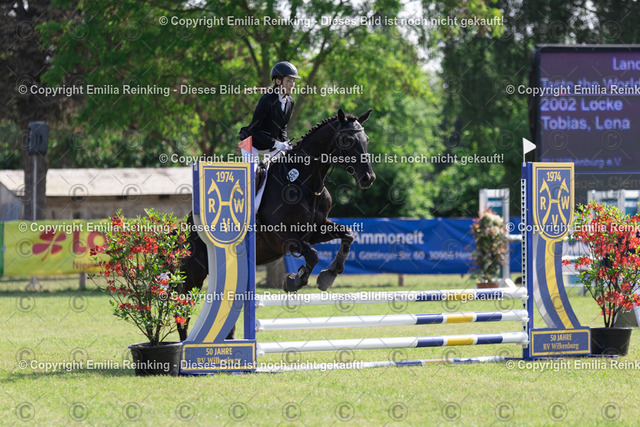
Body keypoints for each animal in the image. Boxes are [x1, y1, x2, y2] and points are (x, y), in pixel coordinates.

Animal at [177, 109, 375, 340]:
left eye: (366, 140)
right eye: (346, 140)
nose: (368, 178)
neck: (305, 183)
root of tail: (187, 222)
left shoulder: (315, 231)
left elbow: (347, 235)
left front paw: (329, 275)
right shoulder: (280, 236)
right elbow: (312, 255)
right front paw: (294, 281)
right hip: (193, 272)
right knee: (182, 308)